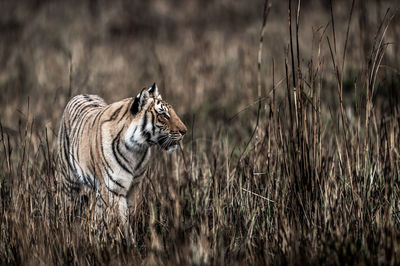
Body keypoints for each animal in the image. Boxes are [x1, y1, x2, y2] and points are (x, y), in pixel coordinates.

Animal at [57, 82, 187, 224]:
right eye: (164, 115)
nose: (184, 131)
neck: (137, 149)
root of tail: (82, 94)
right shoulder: (114, 190)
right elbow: (121, 221)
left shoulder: (135, 187)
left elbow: (132, 214)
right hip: (68, 180)